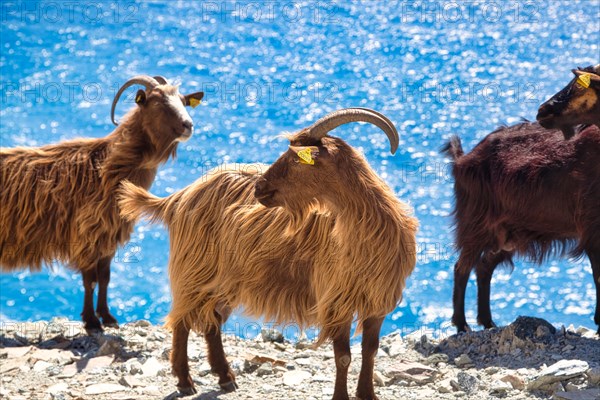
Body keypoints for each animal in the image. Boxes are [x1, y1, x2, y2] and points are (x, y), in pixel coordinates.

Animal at [0, 75, 204, 332]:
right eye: (158, 103)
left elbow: (105, 277)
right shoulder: (87, 234)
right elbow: (90, 280)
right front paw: (91, 320)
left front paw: (107, 317)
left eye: (184, 102)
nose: (188, 125)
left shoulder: (108, 236)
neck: (105, 168)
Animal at [117, 108, 418, 398]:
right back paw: (184, 381)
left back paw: (225, 378)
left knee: (212, 322)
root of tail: (179, 197)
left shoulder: (377, 301)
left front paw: (367, 394)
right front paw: (341, 397)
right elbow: (343, 356)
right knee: (182, 321)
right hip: (194, 269)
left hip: (224, 280)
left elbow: (370, 351)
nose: (259, 188)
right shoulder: (336, 300)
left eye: (296, 160)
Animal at [440, 121, 600, 334]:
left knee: (484, 265)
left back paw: (488, 322)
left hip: (508, 235)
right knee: (462, 268)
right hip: (476, 221)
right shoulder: (592, 229)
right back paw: (462, 325)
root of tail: (463, 159)